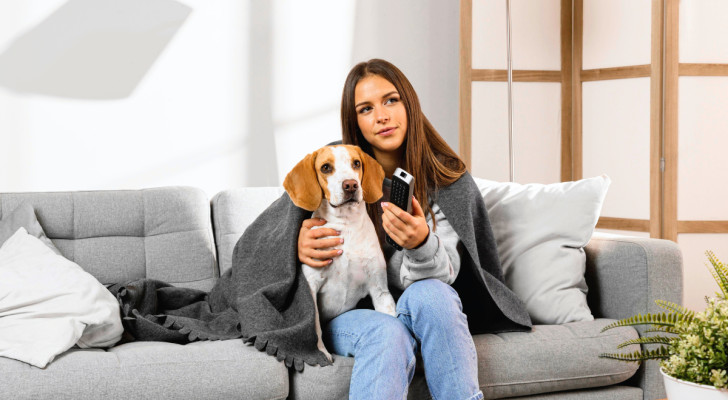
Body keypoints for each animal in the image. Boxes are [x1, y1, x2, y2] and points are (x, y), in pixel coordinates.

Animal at [284, 145, 398, 362]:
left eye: (357, 163)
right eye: (325, 167)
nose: (351, 185)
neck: (347, 227)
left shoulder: (379, 290)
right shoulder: (311, 286)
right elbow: (315, 327)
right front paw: (321, 354)